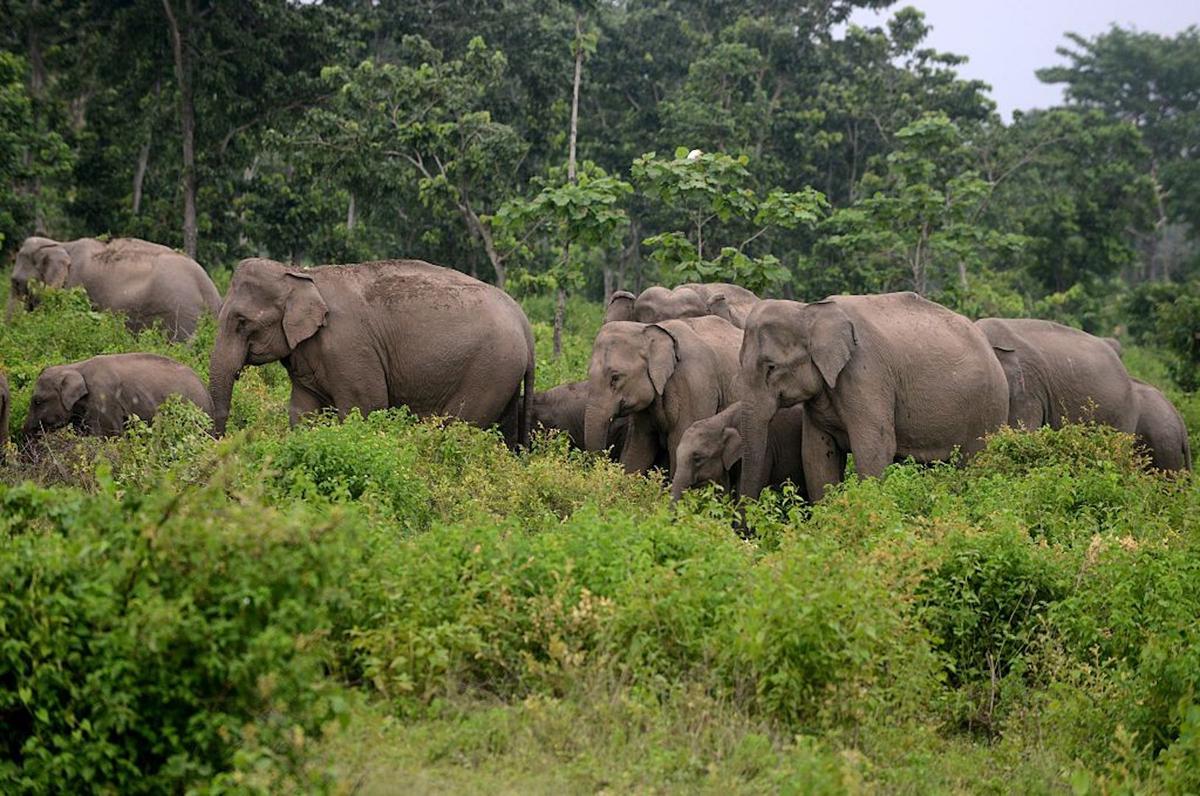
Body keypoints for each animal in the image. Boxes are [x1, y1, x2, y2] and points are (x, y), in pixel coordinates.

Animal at [208, 257, 535, 447]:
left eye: (242, 322)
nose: (220, 443)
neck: (300, 274)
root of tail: (523, 321)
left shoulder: (349, 348)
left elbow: (365, 406)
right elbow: (302, 411)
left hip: (488, 371)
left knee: (459, 427)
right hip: (503, 376)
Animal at [739, 293, 1009, 501]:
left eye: (771, 367)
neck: (809, 310)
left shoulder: (866, 374)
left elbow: (874, 447)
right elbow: (816, 453)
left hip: (989, 407)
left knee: (976, 460)